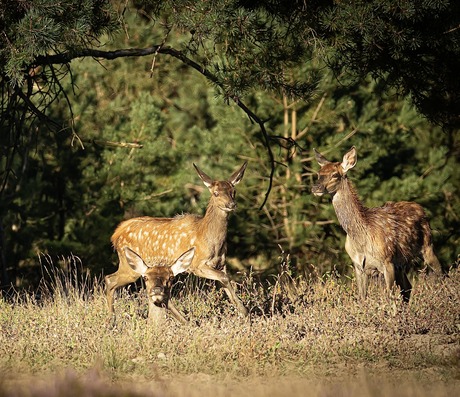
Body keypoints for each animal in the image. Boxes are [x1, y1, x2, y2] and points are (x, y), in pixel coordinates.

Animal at [105, 161, 248, 322]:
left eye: (233, 191)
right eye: (215, 193)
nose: (232, 204)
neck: (211, 240)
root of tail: (116, 235)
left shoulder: (221, 264)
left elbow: (225, 281)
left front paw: (244, 313)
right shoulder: (196, 264)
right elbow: (225, 278)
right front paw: (245, 311)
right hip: (130, 265)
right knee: (110, 279)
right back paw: (112, 319)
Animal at [312, 147, 442, 302]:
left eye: (335, 175)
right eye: (318, 173)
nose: (315, 187)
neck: (361, 239)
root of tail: (421, 209)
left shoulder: (387, 261)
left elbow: (390, 296)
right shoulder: (358, 266)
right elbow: (362, 297)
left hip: (427, 245)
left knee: (441, 273)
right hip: (401, 263)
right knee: (408, 288)